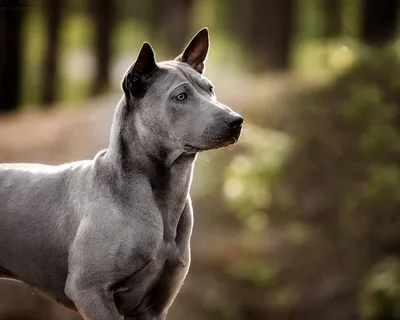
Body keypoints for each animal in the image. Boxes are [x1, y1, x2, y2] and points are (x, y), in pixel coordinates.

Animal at [0, 28, 244, 318]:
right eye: (180, 96)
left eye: (210, 89)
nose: (236, 121)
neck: (161, 197)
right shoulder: (90, 291)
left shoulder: (154, 306)